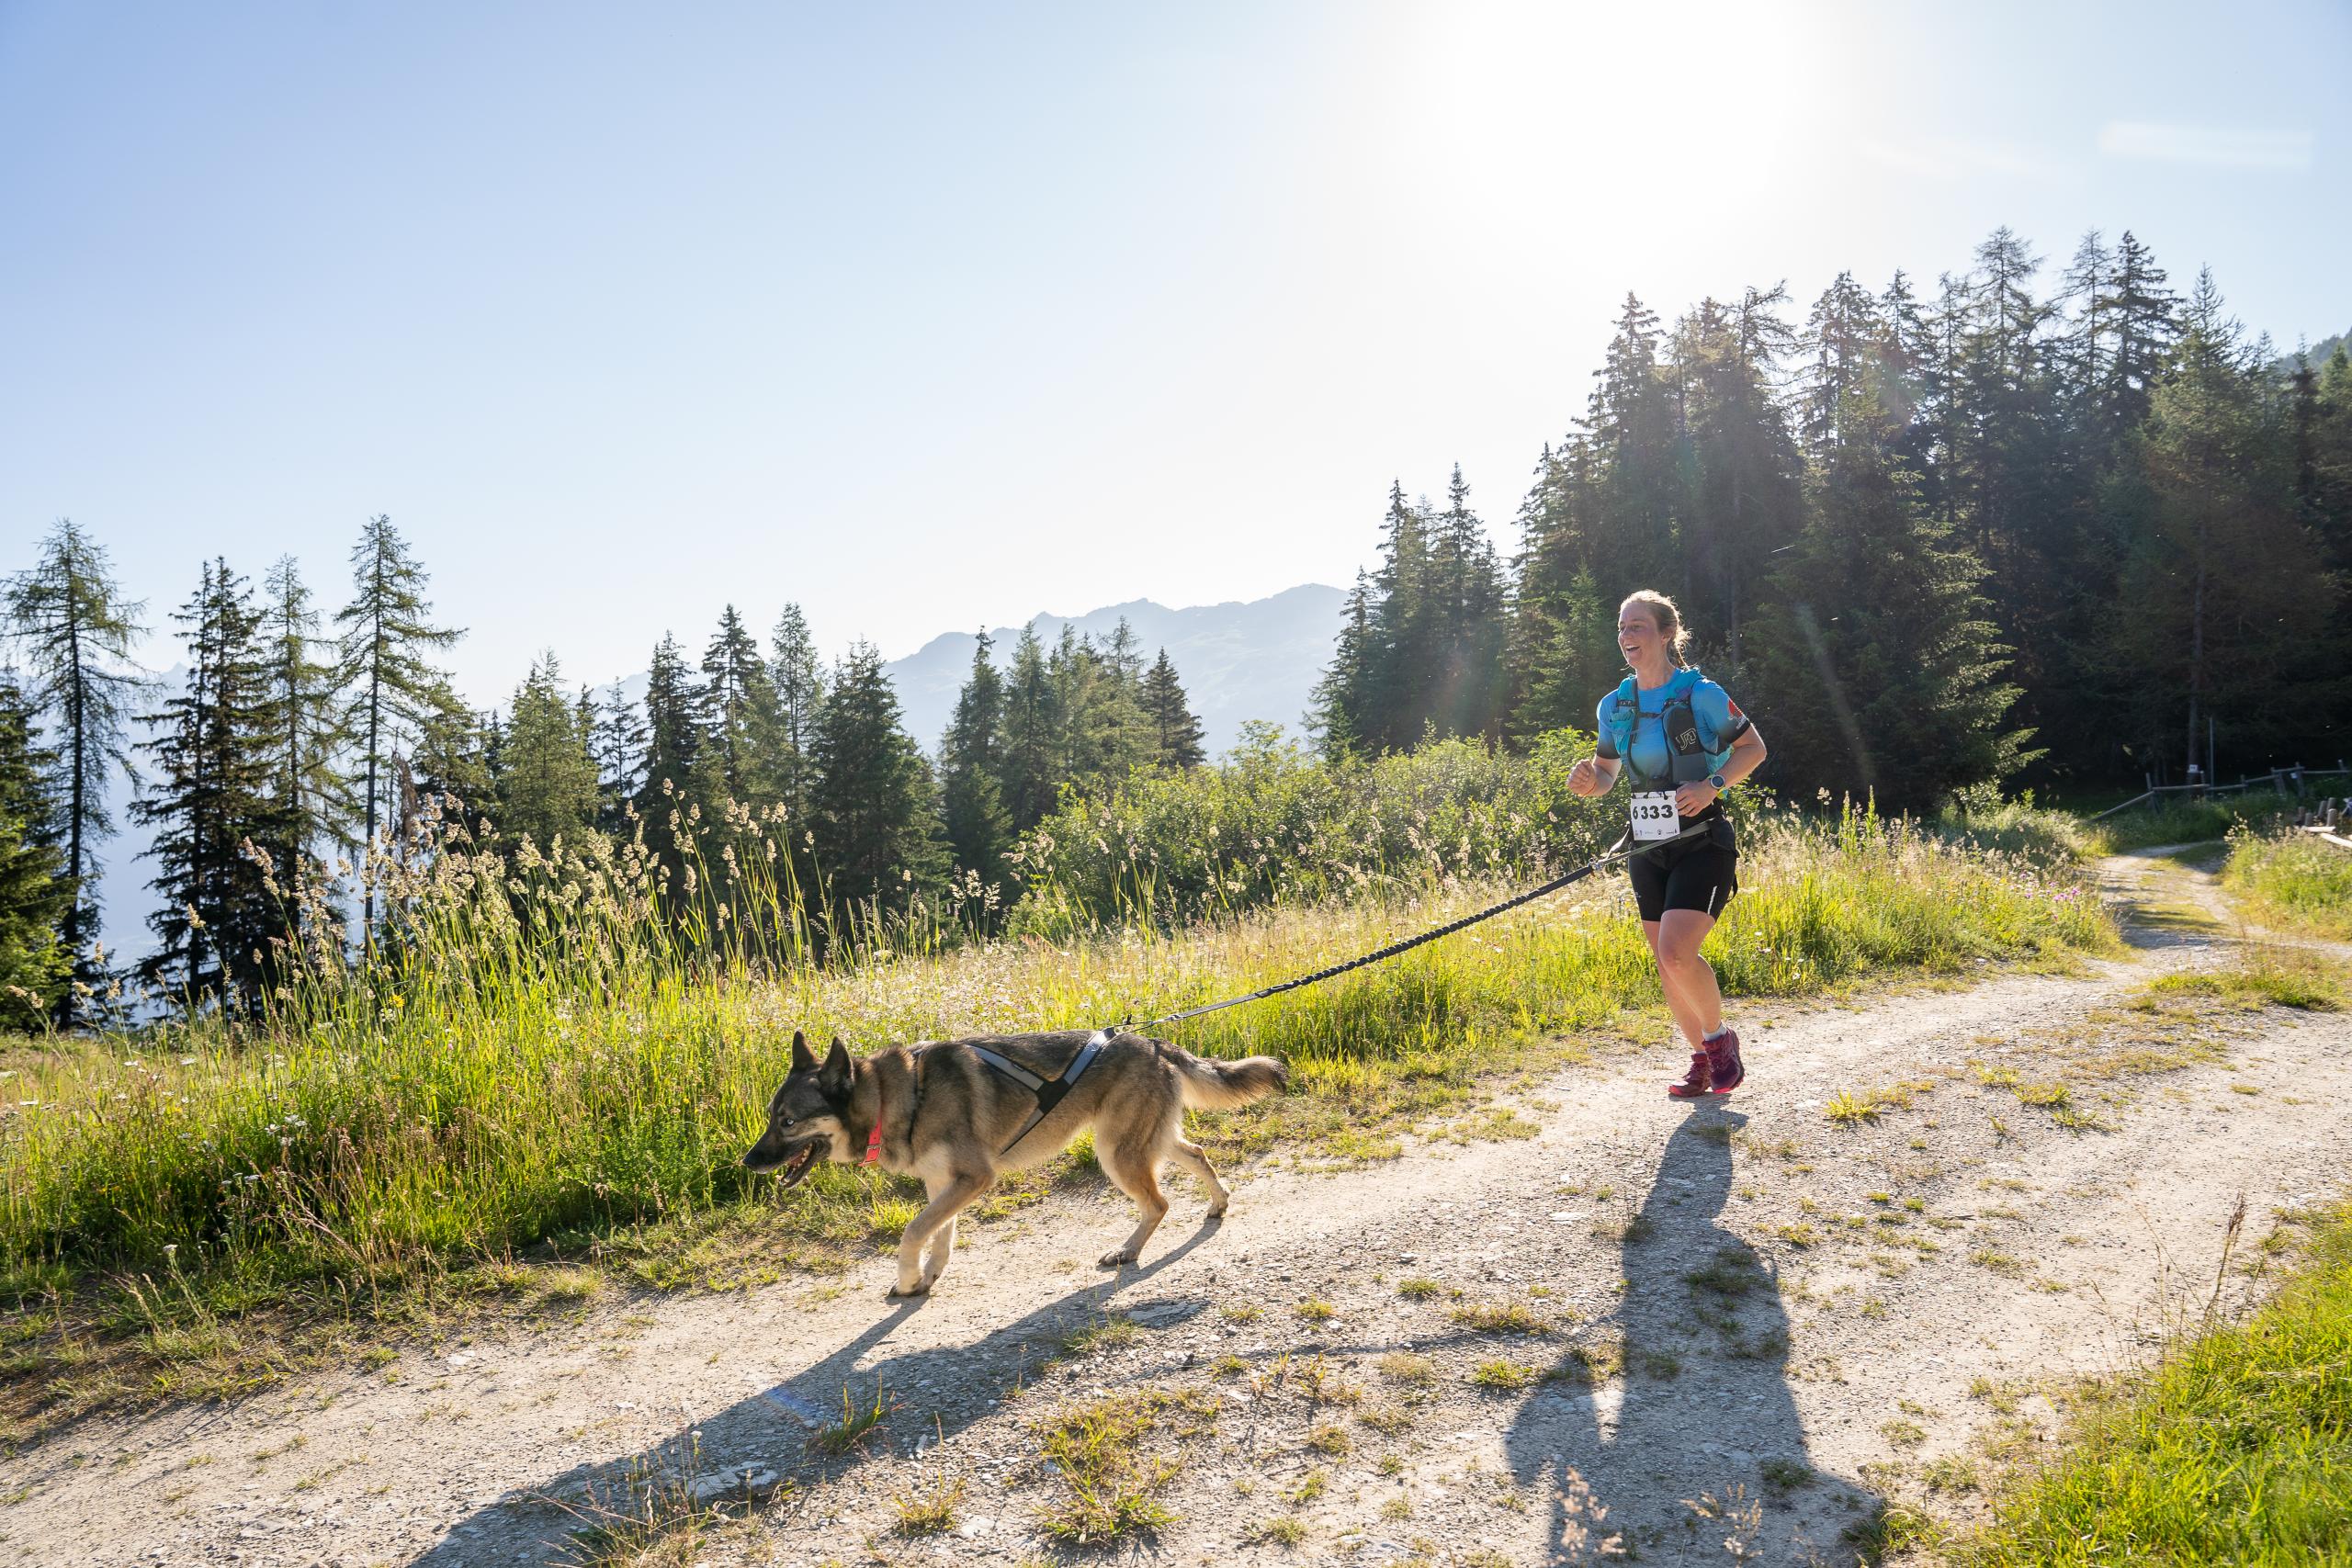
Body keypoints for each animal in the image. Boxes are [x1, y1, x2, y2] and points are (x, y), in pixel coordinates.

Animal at [742, 1029, 1288, 1297]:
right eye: (770, 1117)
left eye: (787, 1122)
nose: (748, 1162)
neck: (896, 1098)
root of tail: (1153, 1042)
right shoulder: (944, 1184)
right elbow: (941, 1236)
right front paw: (928, 1278)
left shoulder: (972, 1179)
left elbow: (913, 1233)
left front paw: (908, 1279)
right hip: (1146, 1143)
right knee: (1198, 1156)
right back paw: (1217, 1204)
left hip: (1117, 1154)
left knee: (1159, 1203)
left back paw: (1128, 1252)